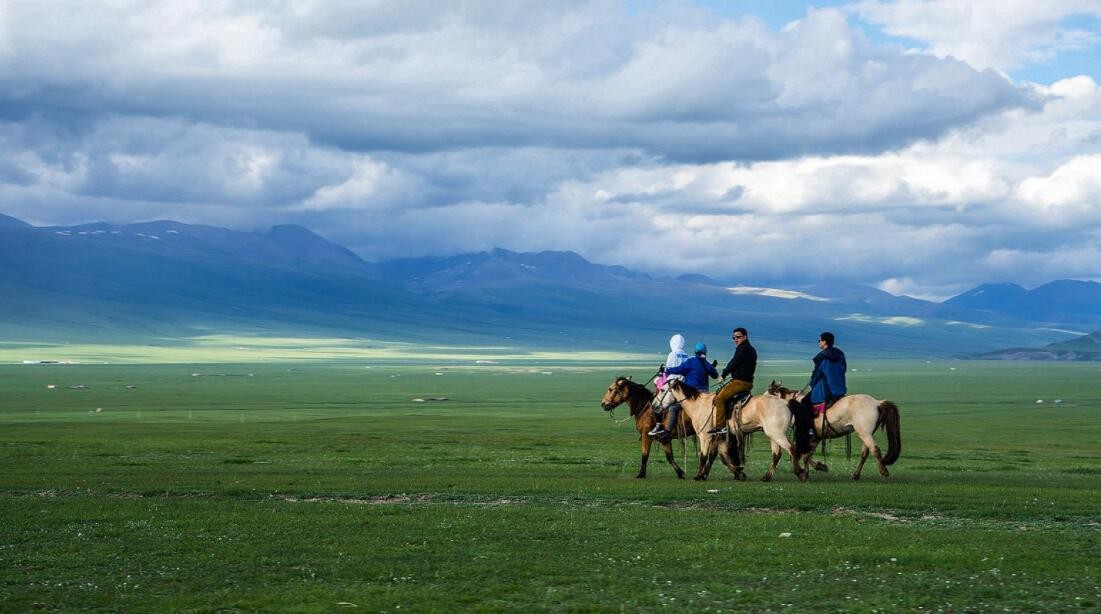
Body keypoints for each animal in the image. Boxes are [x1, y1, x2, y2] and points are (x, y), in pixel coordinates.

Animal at [598, 378, 744, 484]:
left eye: (611, 389)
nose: (603, 404)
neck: (644, 407)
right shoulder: (665, 438)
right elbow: (670, 457)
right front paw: (680, 473)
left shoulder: (646, 435)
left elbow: (644, 456)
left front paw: (640, 474)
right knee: (717, 455)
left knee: (715, 455)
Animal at [766, 380, 902, 481]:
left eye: (769, 394)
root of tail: (877, 403)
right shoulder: (817, 436)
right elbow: (807, 454)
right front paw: (815, 469)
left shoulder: (809, 435)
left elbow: (803, 453)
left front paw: (813, 469)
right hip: (866, 433)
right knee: (865, 453)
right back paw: (856, 475)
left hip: (865, 433)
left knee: (875, 450)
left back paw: (884, 473)